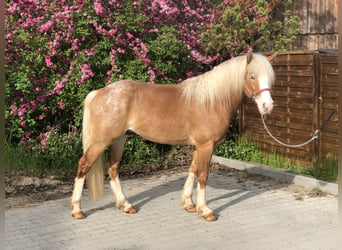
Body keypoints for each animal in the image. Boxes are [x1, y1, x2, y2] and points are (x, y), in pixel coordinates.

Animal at [71, 52, 276, 221]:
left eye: (270, 78)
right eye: (252, 76)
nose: (267, 106)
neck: (212, 101)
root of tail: (98, 92)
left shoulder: (199, 146)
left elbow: (192, 170)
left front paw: (189, 203)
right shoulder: (206, 145)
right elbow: (203, 175)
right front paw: (205, 210)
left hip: (119, 140)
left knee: (112, 168)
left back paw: (126, 205)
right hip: (101, 142)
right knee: (84, 165)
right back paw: (77, 209)